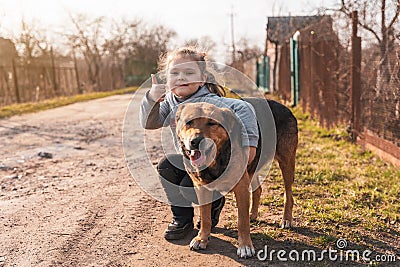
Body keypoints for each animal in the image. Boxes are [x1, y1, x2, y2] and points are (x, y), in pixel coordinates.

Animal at [175, 98, 296, 260]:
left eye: (211, 123)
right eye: (189, 122)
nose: (196, 141)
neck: (216, 158)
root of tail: (284, 106)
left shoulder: (241, 188)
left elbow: (242, 222)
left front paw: (245, 246)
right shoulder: (202, 188)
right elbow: (205, 217)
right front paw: (202, 238)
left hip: (286, 163)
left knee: (288, 194)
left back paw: (286, 219)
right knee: (258, 190)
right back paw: (253, 214)